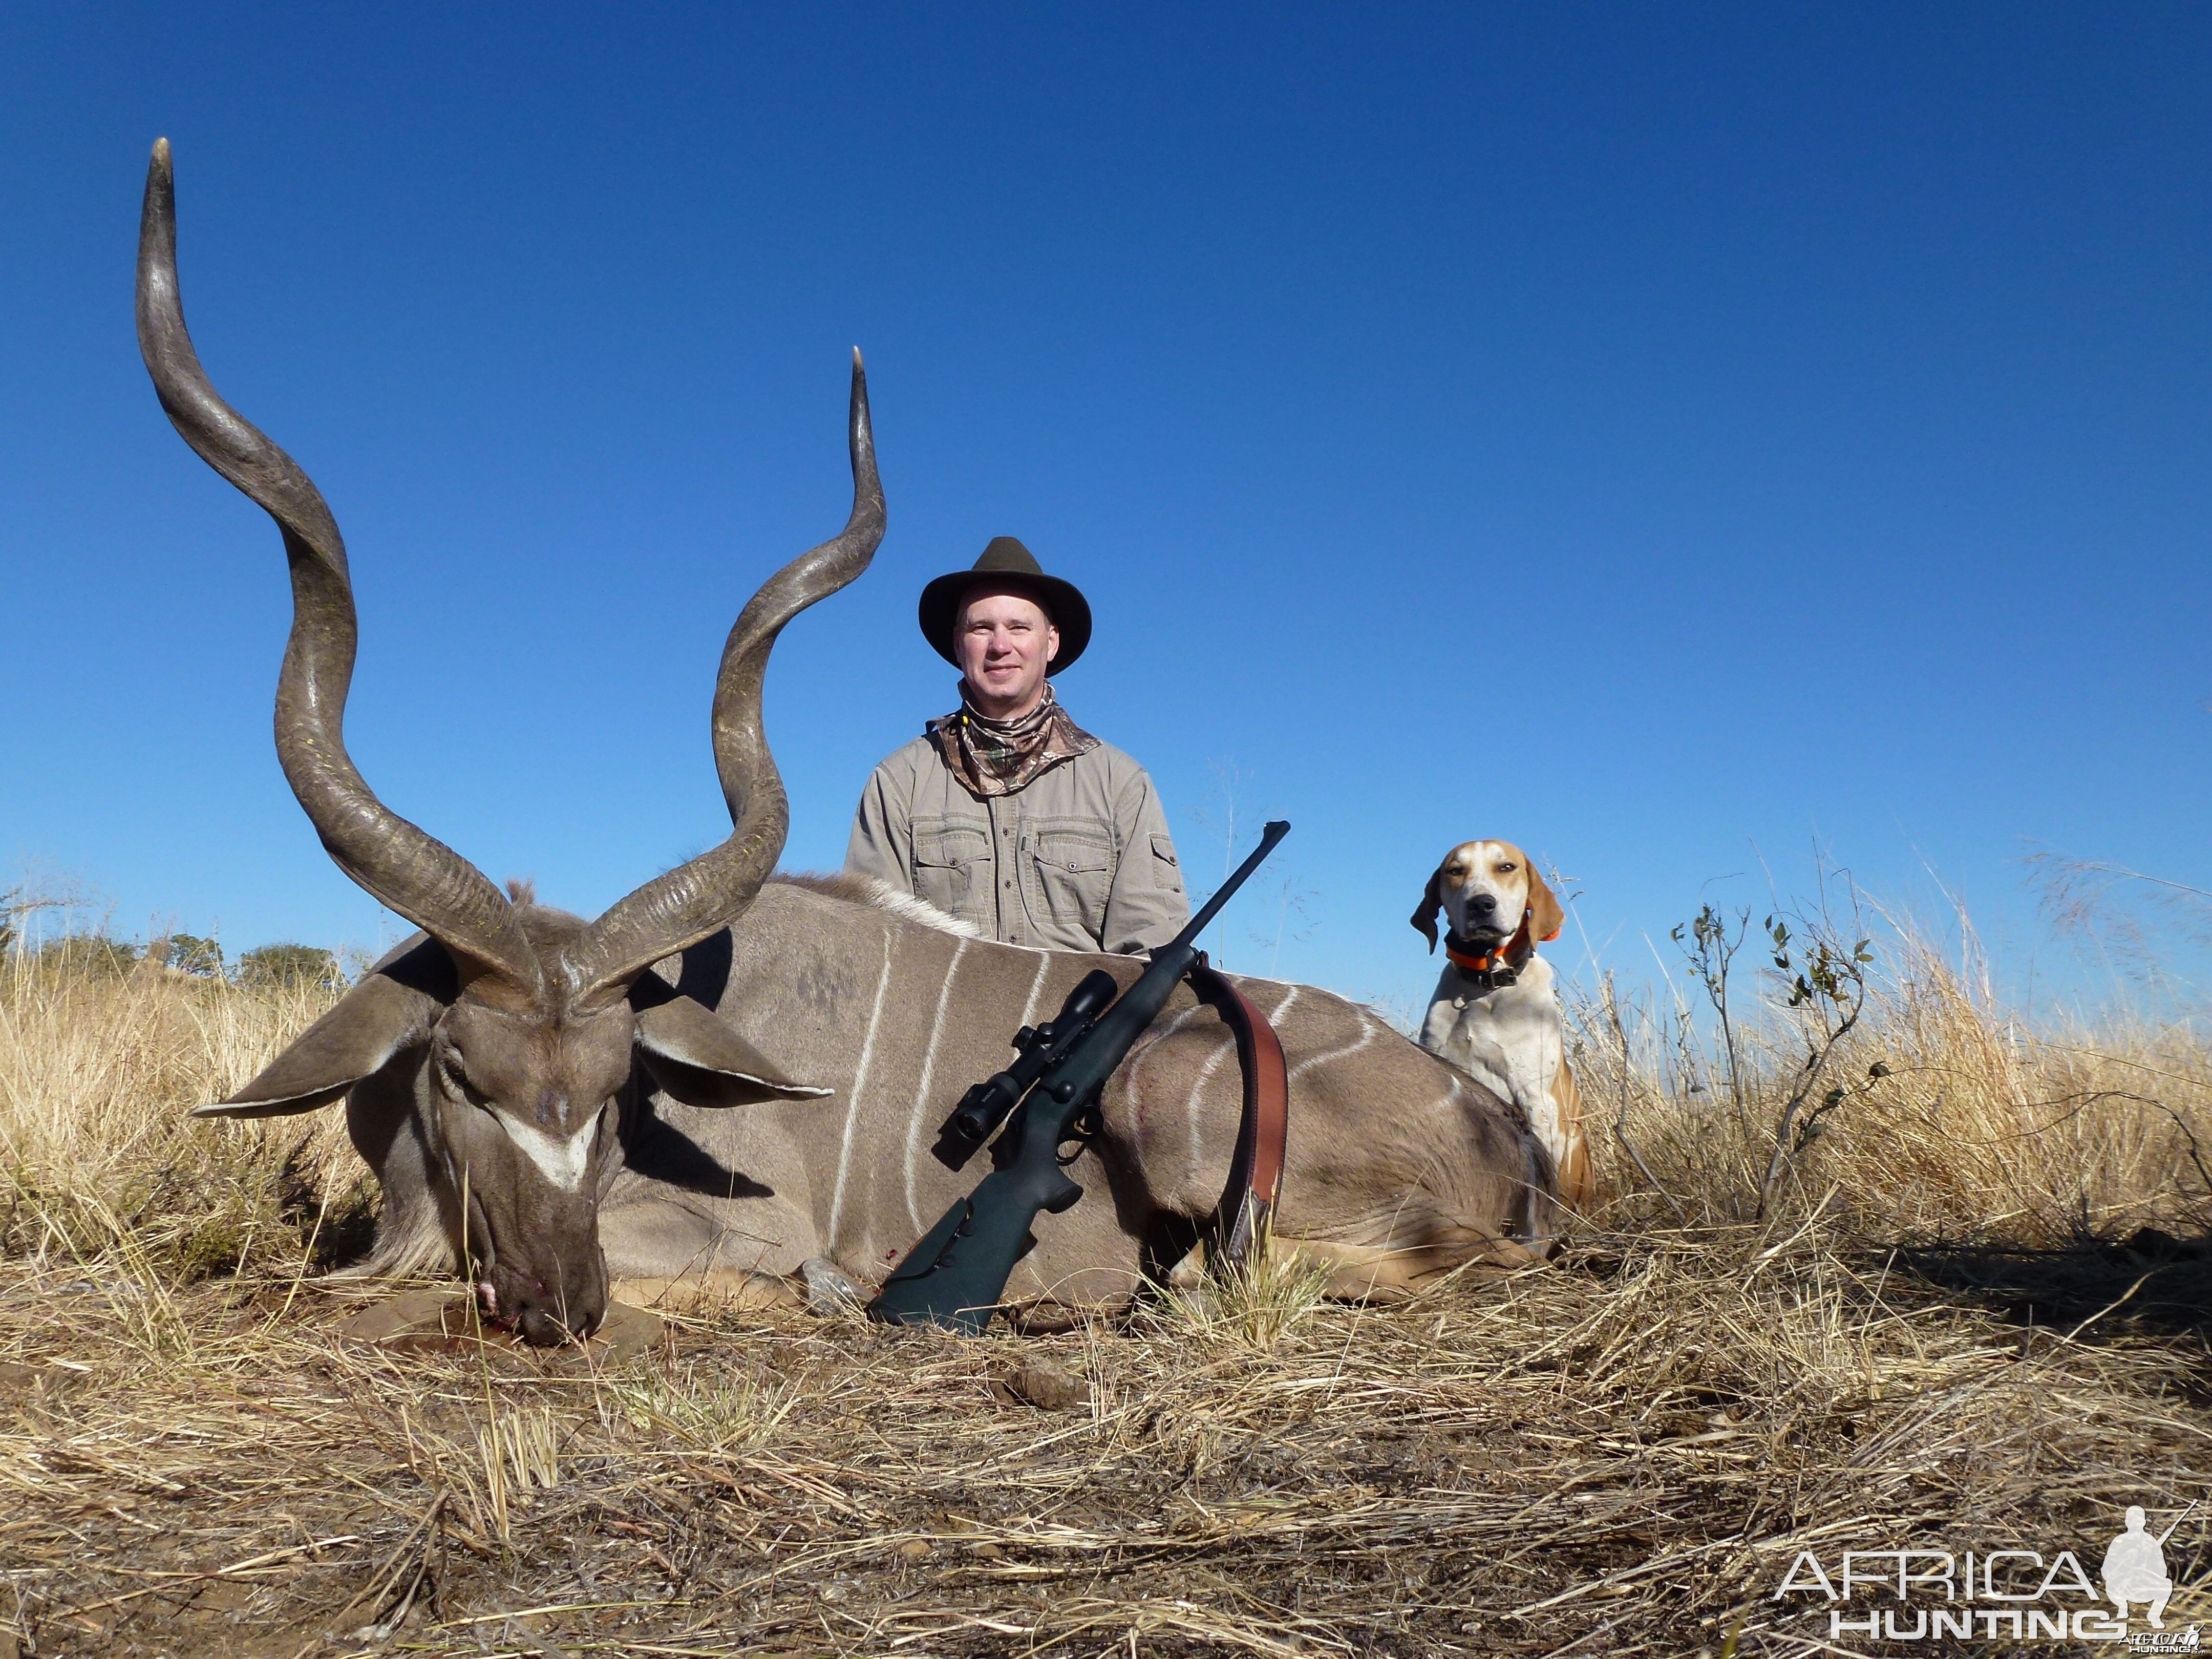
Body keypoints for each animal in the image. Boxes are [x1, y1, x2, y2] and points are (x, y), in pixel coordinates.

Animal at [147, 140, 1557, 1336]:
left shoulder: (706, 1226)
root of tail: (1509, 1144)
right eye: (459, 1074)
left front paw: (817, 1284)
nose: (558, 1302)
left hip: (1172, 1102)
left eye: (614, 1087)